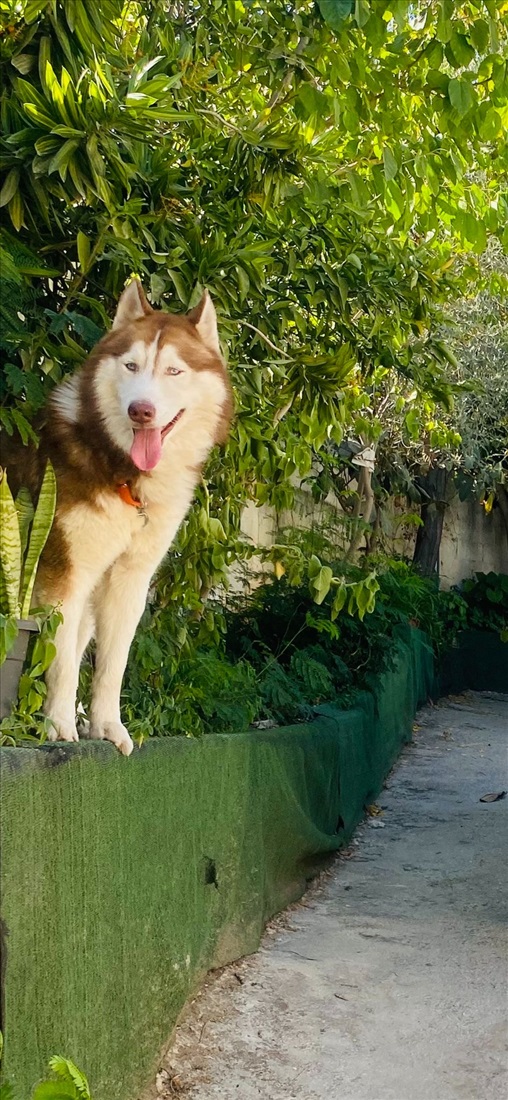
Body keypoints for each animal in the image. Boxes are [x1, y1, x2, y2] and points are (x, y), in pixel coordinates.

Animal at [1, 279, 232, 752]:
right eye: (131, 365)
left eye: (174, 372)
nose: (140, 410)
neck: (123, 473)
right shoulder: (65, 574)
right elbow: (62, 660)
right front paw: (60, 726)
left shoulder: (128, 579)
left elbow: (112, 663)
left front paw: (106, 725)